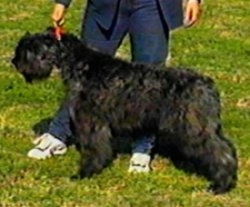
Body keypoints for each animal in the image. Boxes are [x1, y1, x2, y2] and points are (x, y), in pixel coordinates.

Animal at [12, 27, 238, 194]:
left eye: (29, 48)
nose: (14, 61)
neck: (81, 65)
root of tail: (209, 85)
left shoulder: (91, 121)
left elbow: (94, 149)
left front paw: (85, 173)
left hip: (194, 127)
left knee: (222, 151)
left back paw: (221, 185)